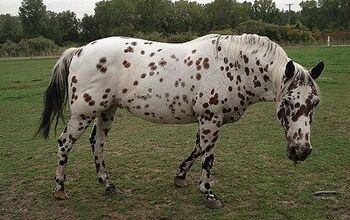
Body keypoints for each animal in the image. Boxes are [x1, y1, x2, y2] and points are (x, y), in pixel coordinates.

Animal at [37, 33, 324, 209]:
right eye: (287, 103)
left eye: (315, 103)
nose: (301, 151)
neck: (234, 66)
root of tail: (80, 50)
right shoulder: (211, 119)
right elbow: (208, 157)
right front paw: (208, 194)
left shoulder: (206, 120)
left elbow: (197, 150)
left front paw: (180, 176)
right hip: (84, 112)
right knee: (65, 143)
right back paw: (60, 189)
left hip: (107, 111)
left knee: (97, 144)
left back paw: (108, 185)